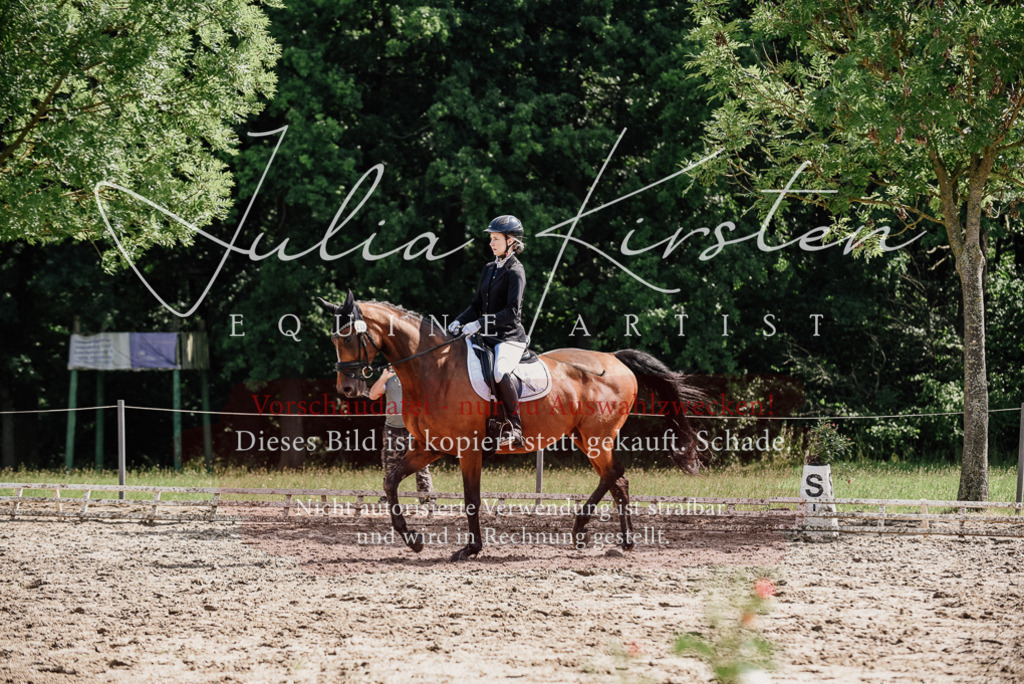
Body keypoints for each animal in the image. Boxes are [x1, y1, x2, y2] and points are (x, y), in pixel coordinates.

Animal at [317, 291, 703, 562]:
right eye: (333, 339)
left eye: (348, 336)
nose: (346, 389)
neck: (432, 369)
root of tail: (615, 359)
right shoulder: (430, 446)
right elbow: (391, 481)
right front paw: (413, 541)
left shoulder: (469, 450)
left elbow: (472, 499)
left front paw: (470, 549)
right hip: (584, 437)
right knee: (618, 481)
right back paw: (619, 541)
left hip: (598, 436)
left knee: (615, 474)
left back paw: (585, 530)